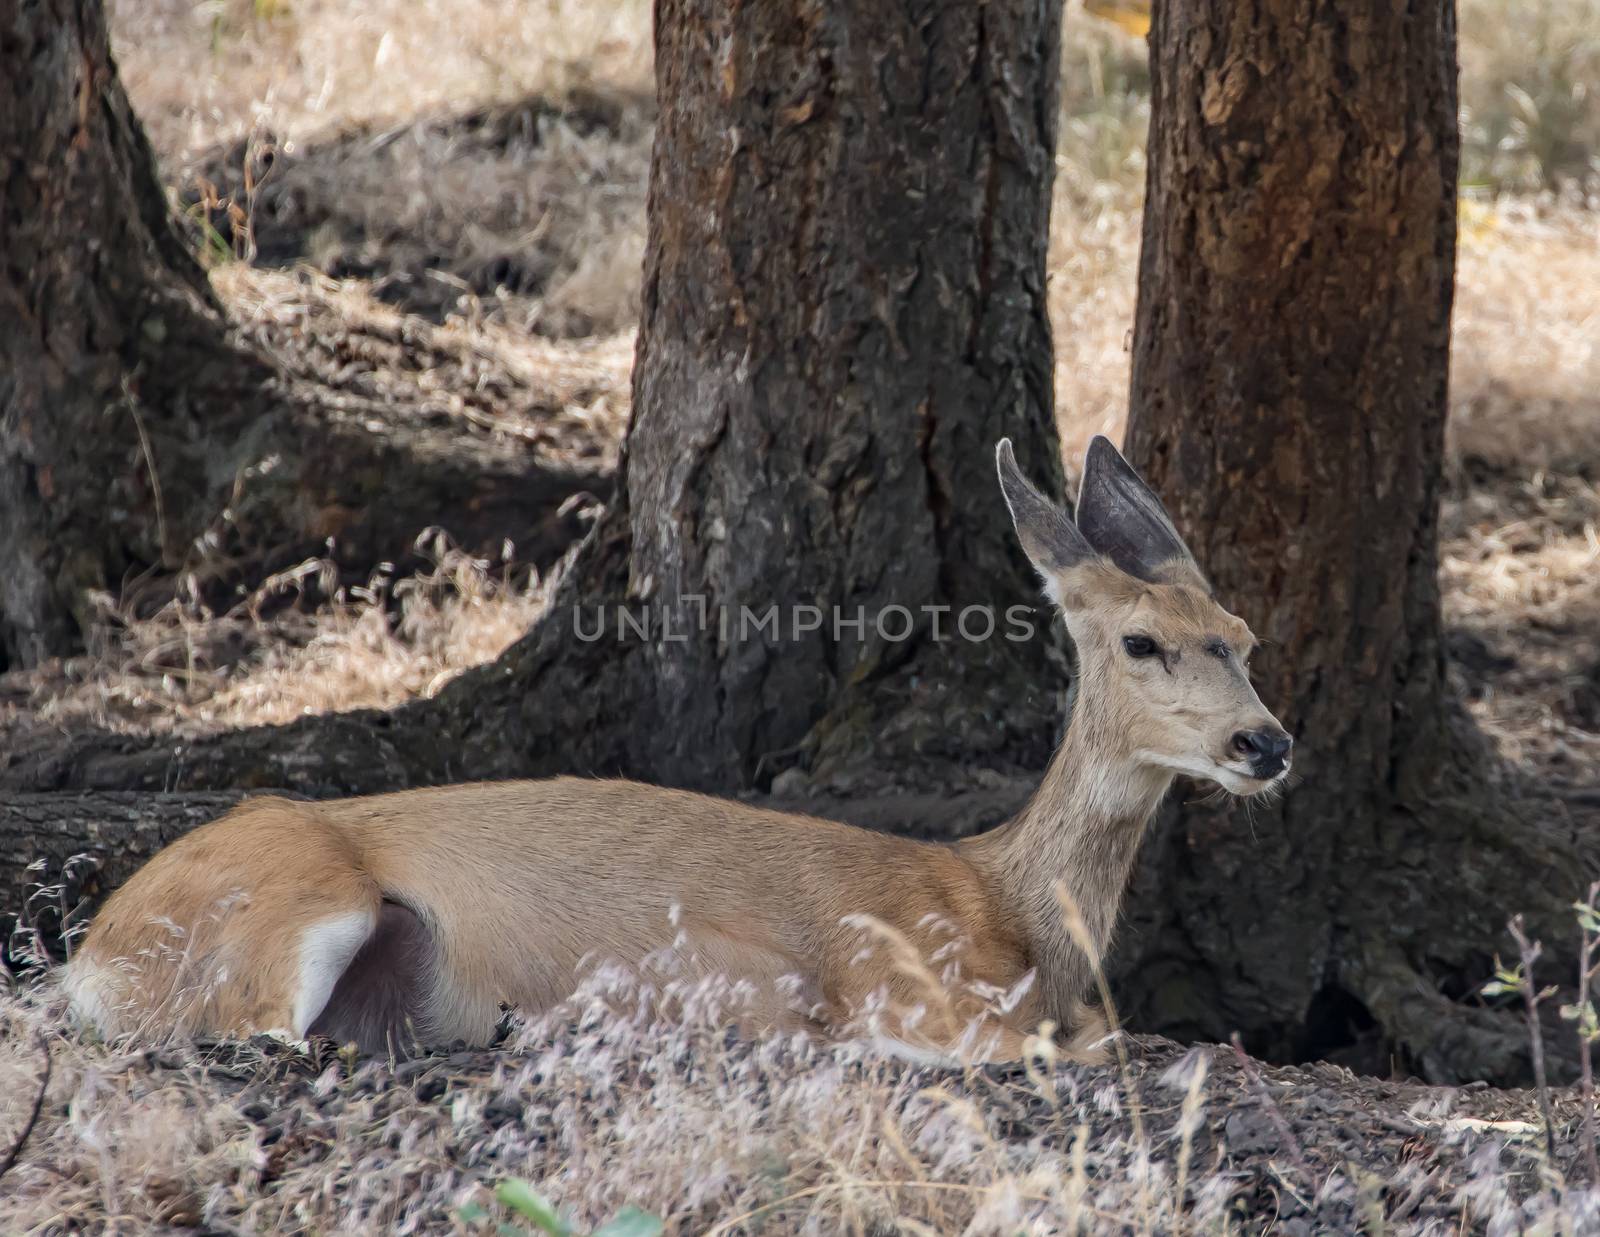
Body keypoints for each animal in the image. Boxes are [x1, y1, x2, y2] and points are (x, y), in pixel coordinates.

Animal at [62, 435, 1292, 1062]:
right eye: (1141, 640)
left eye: (1241, 636)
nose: (1266, 741)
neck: (1010, 912)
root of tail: (91, 950)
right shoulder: (900, 991)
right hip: (294, 906)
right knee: (251, 1033)